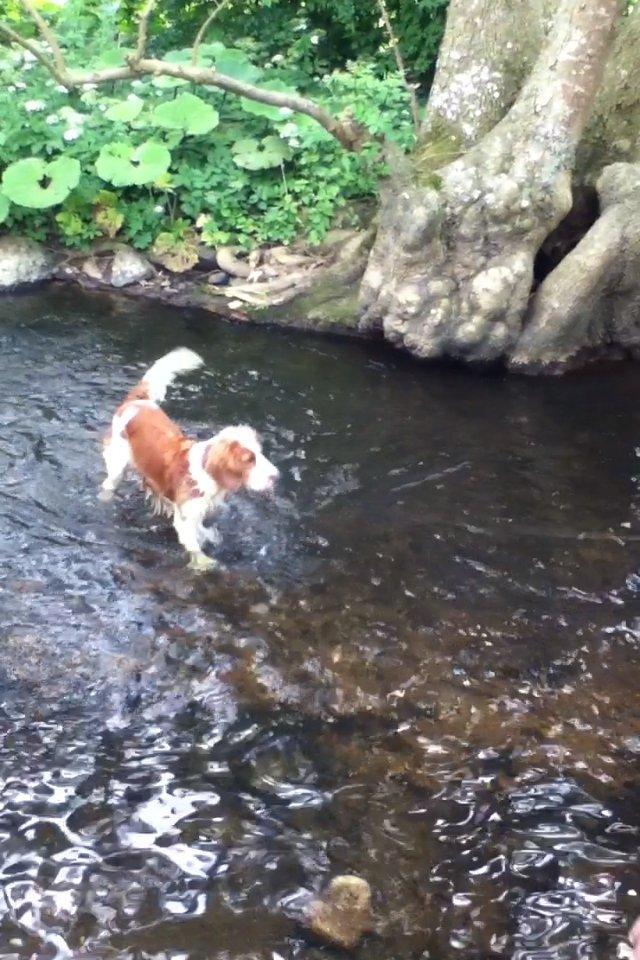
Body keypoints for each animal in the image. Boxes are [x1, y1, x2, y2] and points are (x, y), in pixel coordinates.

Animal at [100, 346, 278, 568]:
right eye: (249, 459)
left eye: (260, 453)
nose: (276, 476)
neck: (207, 475)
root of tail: (139, 401)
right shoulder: (186, 517)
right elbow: (194, 547)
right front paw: (204, 564)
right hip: (117, 464)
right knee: (109, 483)